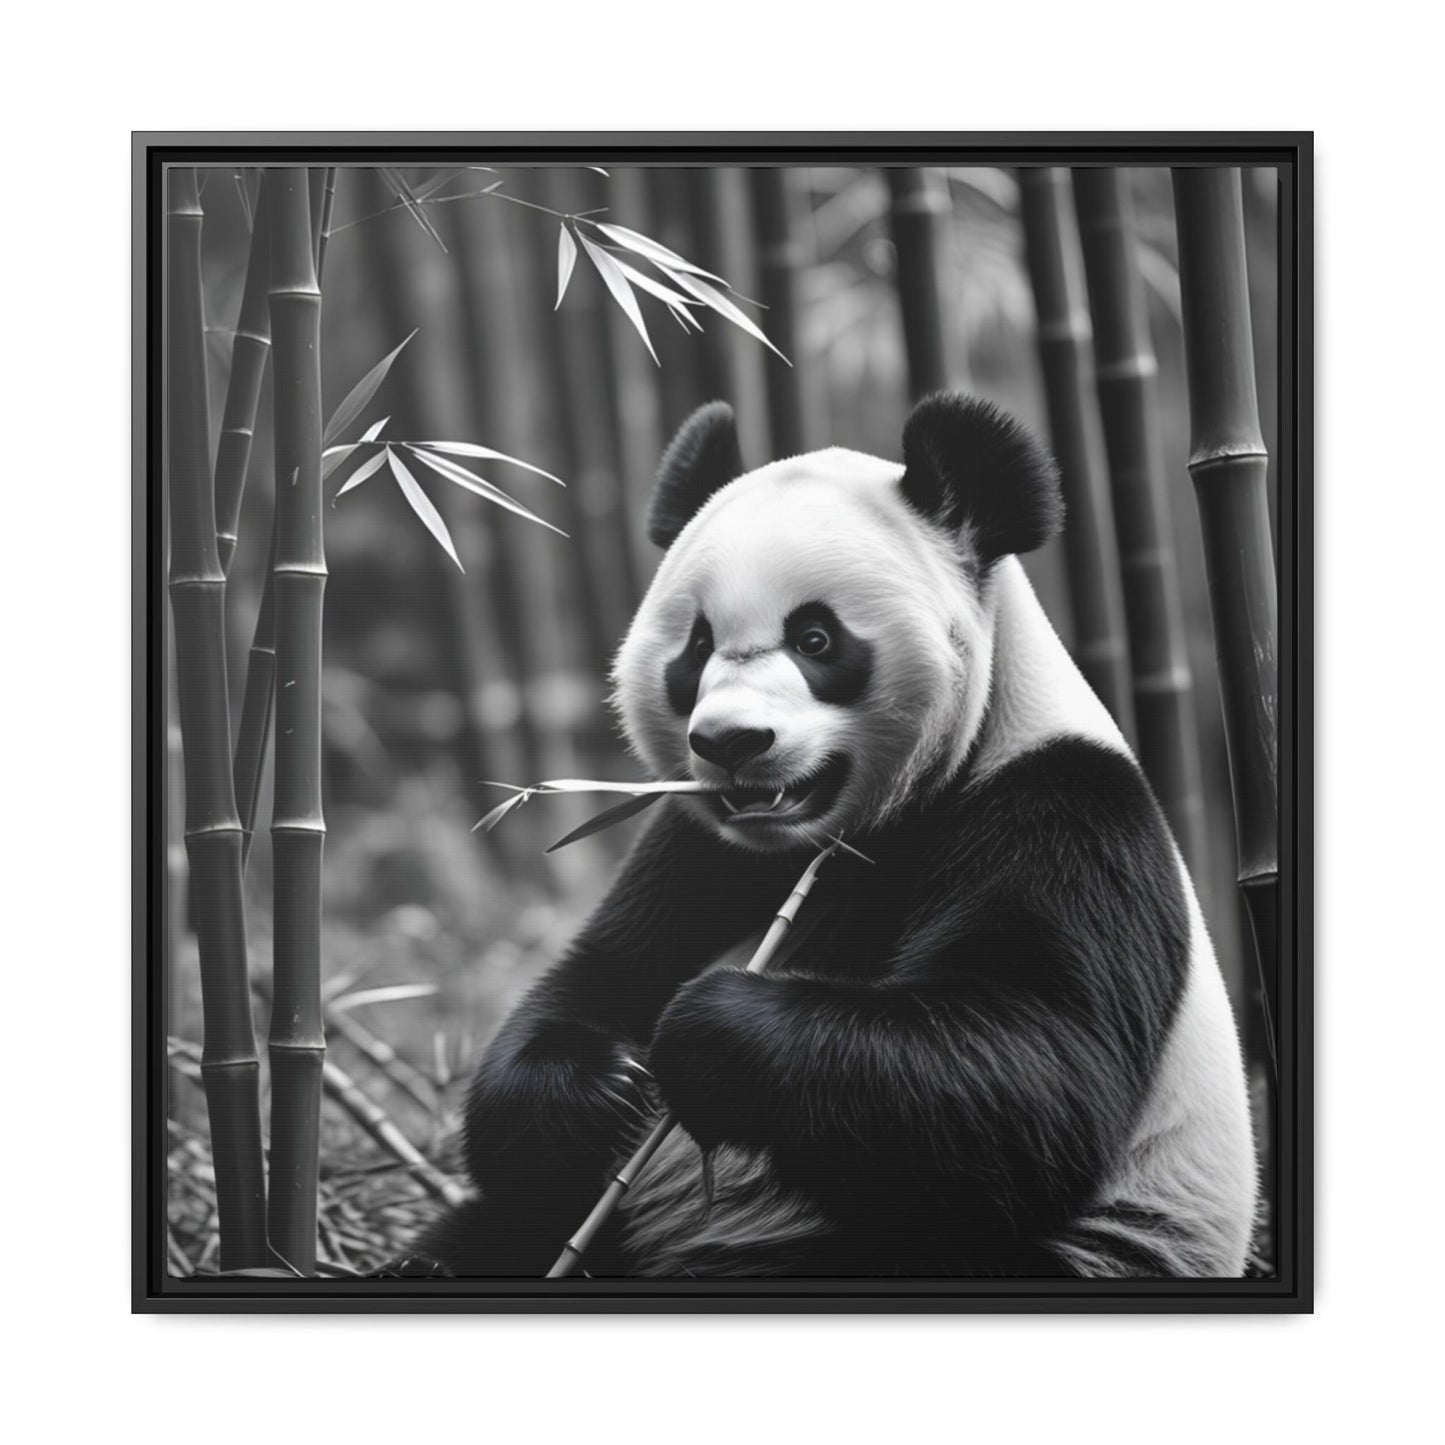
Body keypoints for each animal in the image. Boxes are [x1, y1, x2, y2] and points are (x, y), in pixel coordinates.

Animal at [402, 392, 1258, 1279]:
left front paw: (707, 1029)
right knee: (498, 1227)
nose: (731, 741)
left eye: (814, 638)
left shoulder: (1063, 809)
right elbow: (590, 984)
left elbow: (1032, 1069)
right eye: (697, 646)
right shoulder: (698, 845)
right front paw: (603, 1087)